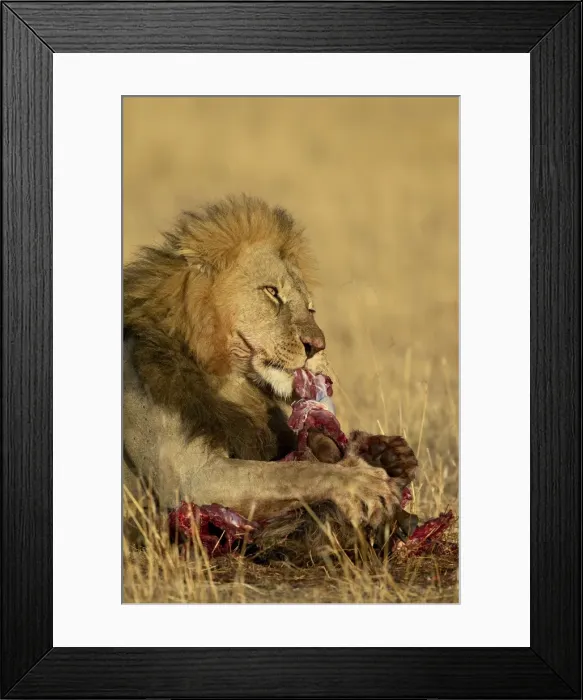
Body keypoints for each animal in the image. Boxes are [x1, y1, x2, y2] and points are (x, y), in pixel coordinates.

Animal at [124, 195, 415, 556]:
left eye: (310, 307)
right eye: (272, 292)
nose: (317, 346)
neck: (230, 382)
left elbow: (292, 463)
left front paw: (386, 454)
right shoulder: (193, 480)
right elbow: (292, 473)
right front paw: (364, 482)